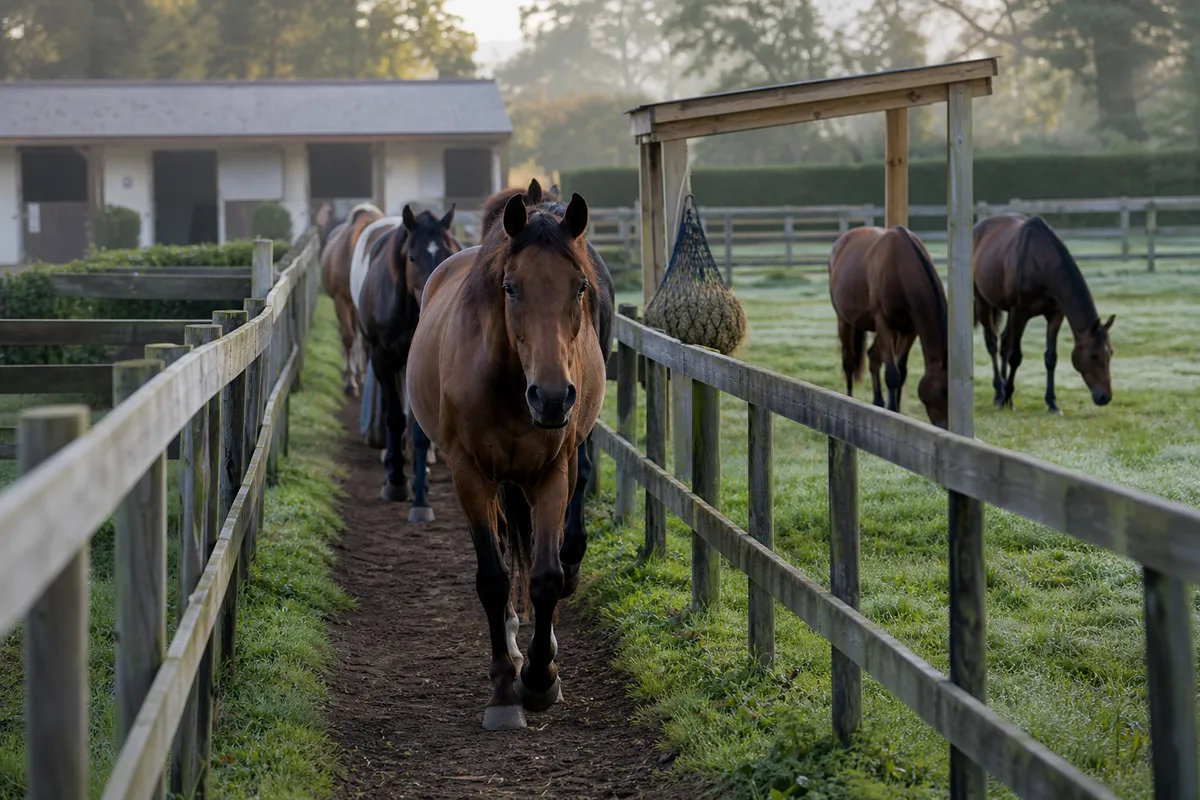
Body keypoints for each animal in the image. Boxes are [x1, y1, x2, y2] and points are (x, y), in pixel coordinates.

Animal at [357, 205, 460, 520]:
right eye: (412, 257)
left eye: (448, 252)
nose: (434, 292)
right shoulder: (382, 358)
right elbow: (393, 417)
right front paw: (396, 481)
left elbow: (418, 428)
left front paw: (421, 498)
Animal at [406, 192, 612, 731]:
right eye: (510, 288)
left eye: (580, 286)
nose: (553, 398)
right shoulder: (470, 476)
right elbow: (493, 579)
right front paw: (504, 691)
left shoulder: (551, 474)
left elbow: (545, 576)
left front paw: (540, 680)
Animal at [829, 225, 949, 429]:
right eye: (942, 390)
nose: (946, 427)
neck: (899, 267)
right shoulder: (883, 322)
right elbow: (892, 373)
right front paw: (892, 410)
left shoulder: (909, 329)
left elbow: (901, 371)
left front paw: (895, 410)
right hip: (845, 321)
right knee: (849, 362)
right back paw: (849, 400)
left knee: (872, 356)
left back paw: (878, 402)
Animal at [974, 214, 1114, 412]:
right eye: (1093, 355)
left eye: (1110, 353)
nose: (1105, 397)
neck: (1040, 261)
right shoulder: (1020, 312)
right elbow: (1015, 357)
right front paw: (1008, 399)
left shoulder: (1056, 314)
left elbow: (1050, 358)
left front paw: (1052, 403)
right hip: (983, 303)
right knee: (993, 343)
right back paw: (999, 392)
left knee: (1004, 343)